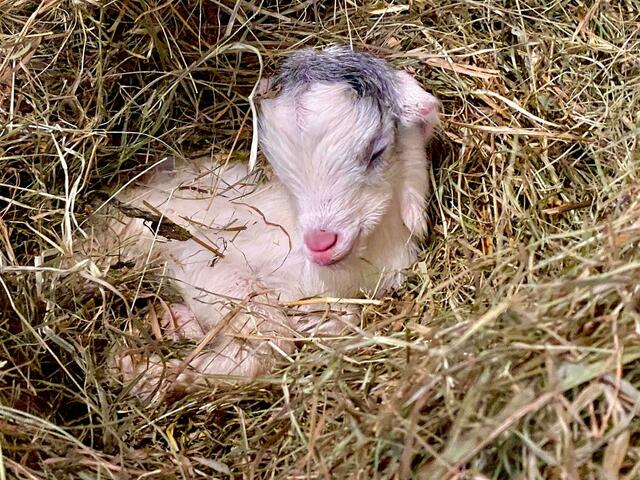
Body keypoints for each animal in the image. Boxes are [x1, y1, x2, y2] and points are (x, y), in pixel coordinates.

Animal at [108, 46, 440, 397]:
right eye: (276, 162)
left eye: (376, 152)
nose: (321, 242)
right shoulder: (200, 258)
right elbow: (265, 337)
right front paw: (143, 369)